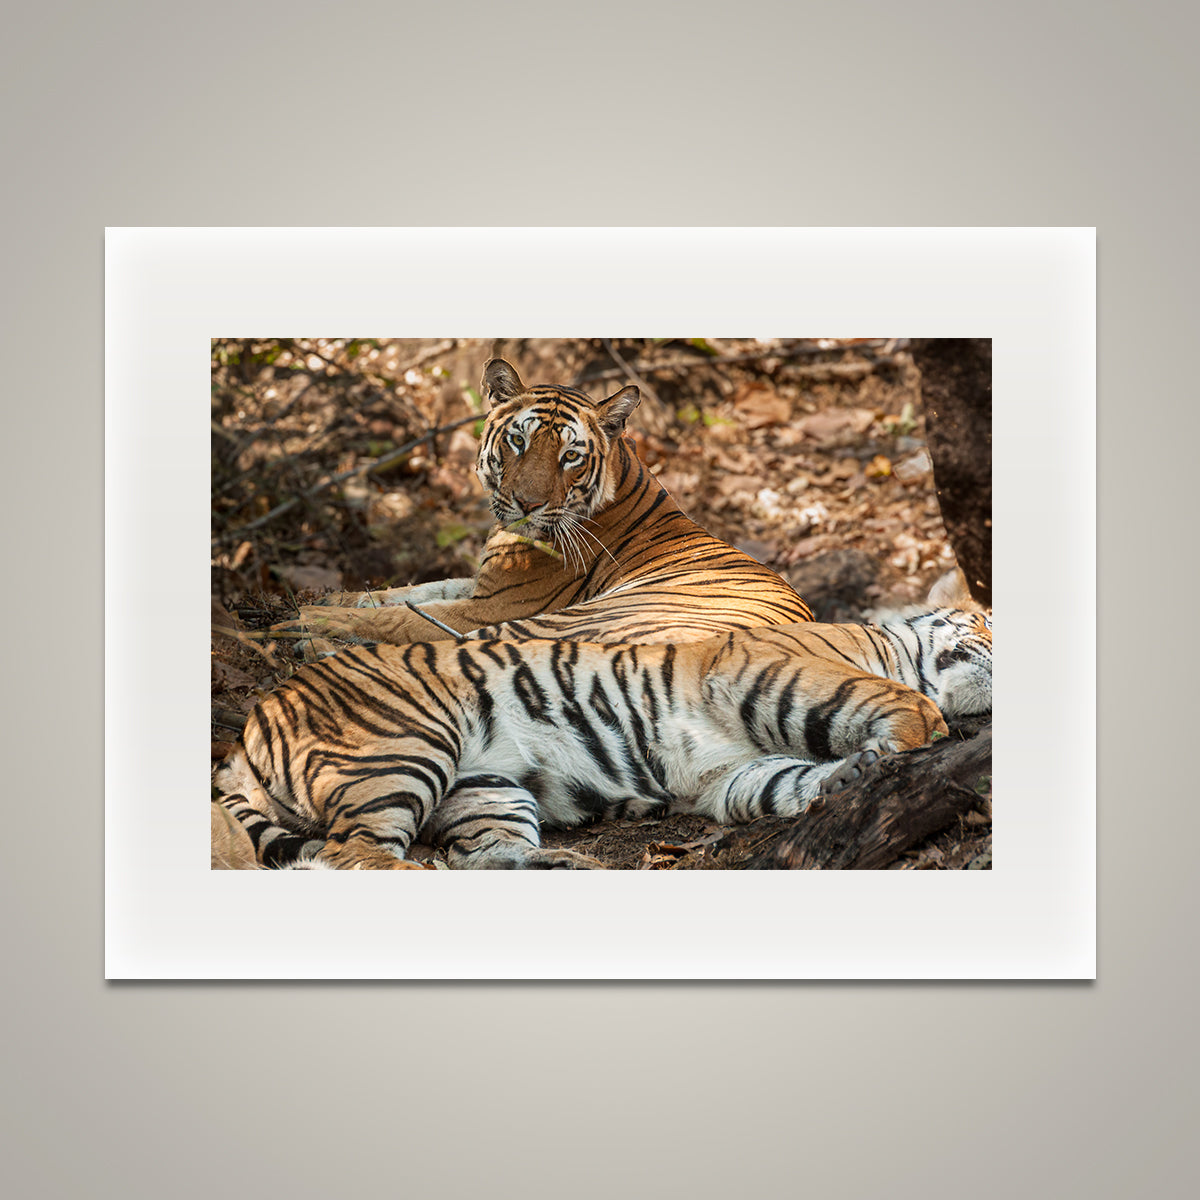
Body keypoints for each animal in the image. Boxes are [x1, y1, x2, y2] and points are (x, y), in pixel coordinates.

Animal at [215, 606, 992, 870]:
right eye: (989, 619)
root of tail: (250, 725)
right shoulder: (765, 666)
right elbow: (896, 703)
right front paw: (912, 740)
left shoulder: (727, 777)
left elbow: (789, 780)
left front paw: (854, 772)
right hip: (404, 751)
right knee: (349, 856)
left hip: (486, 791)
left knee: (472, 857)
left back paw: (559, 867)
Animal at [279, 357, 814, 649]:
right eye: (518, 440)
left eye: (570, 456)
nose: (526, 504)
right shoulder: (483, 584)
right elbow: (409, 590)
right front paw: (330, 597)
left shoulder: (494, 606)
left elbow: (400, 615)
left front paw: (314, 614)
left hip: (565, 622)